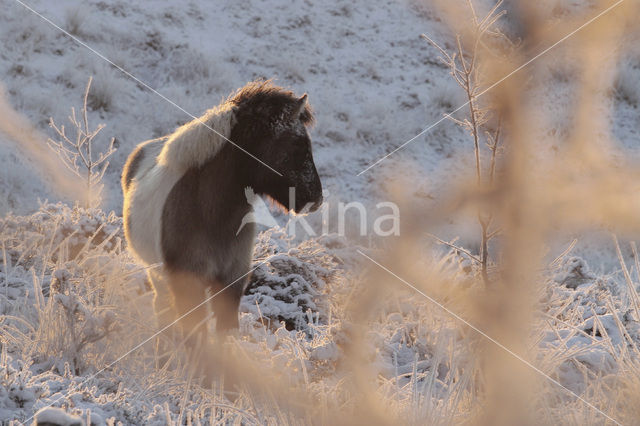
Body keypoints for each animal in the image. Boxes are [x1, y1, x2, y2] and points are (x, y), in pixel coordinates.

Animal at [122, 80, 322, 342]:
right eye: (298, 145)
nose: (316, 198)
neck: (211, 215)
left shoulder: (230, 284)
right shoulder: (190, 287)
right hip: (159, 277)